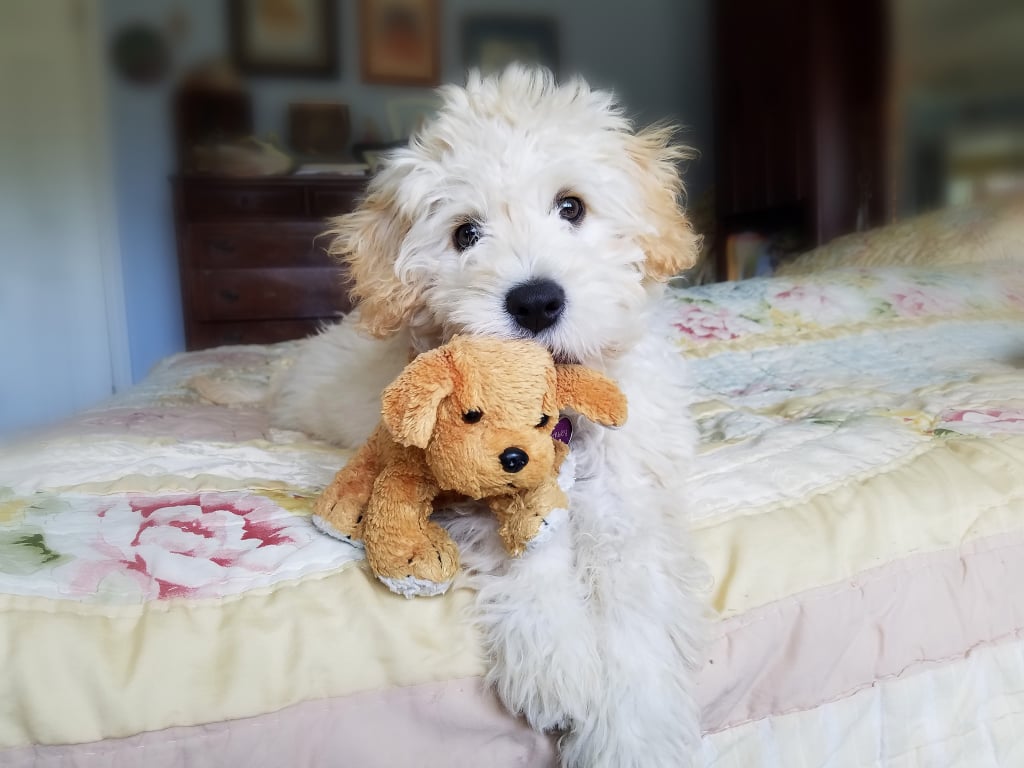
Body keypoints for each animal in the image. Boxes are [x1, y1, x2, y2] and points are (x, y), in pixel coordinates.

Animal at [268, 67, 708, 768]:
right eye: (465, 234)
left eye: (571, 207)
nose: (535, 301)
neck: (557, 396)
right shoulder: (469, 480)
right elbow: (521, 556)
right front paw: (557, 664)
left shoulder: (631, 502)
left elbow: (634, 607)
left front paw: (631, 735)